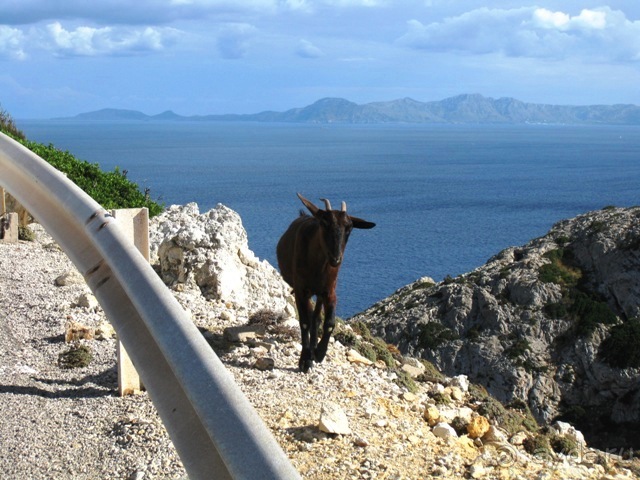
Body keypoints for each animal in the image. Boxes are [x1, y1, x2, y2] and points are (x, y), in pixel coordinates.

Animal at [276, 193, 376, 374]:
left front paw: (319, 353)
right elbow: (305, 322)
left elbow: (329, 323)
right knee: (311, 317)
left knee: (316, 317)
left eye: (349, 228)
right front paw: (305, 360)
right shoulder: (301, 290)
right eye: (324, 223)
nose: (336, 259)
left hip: (320, 293)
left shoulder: (329, 291)